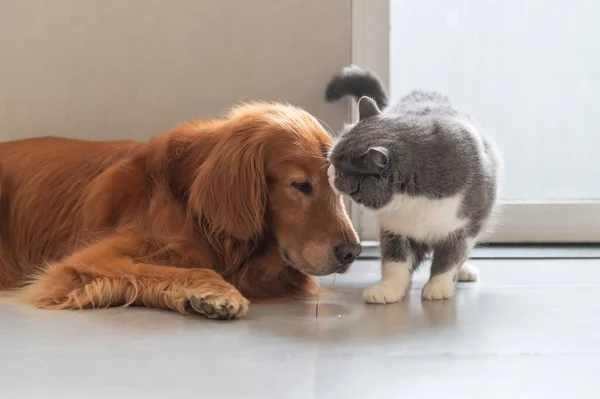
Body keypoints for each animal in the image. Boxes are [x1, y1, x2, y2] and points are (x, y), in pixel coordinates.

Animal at [0, 102, 360, 318]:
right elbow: (188, 269)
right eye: (300, 185)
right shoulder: (85, 262)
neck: (190, 204)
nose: (352, 252)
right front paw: (217, 293)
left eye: (336, 186)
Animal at [326, 65, 500, 304]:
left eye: (342, 173)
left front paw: (438, 286)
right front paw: (388, 288)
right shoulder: (394, 228)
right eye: (331, 159)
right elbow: (395, 261)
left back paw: (465, 272)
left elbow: (450, 258)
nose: (328, 171)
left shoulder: (463, 226)